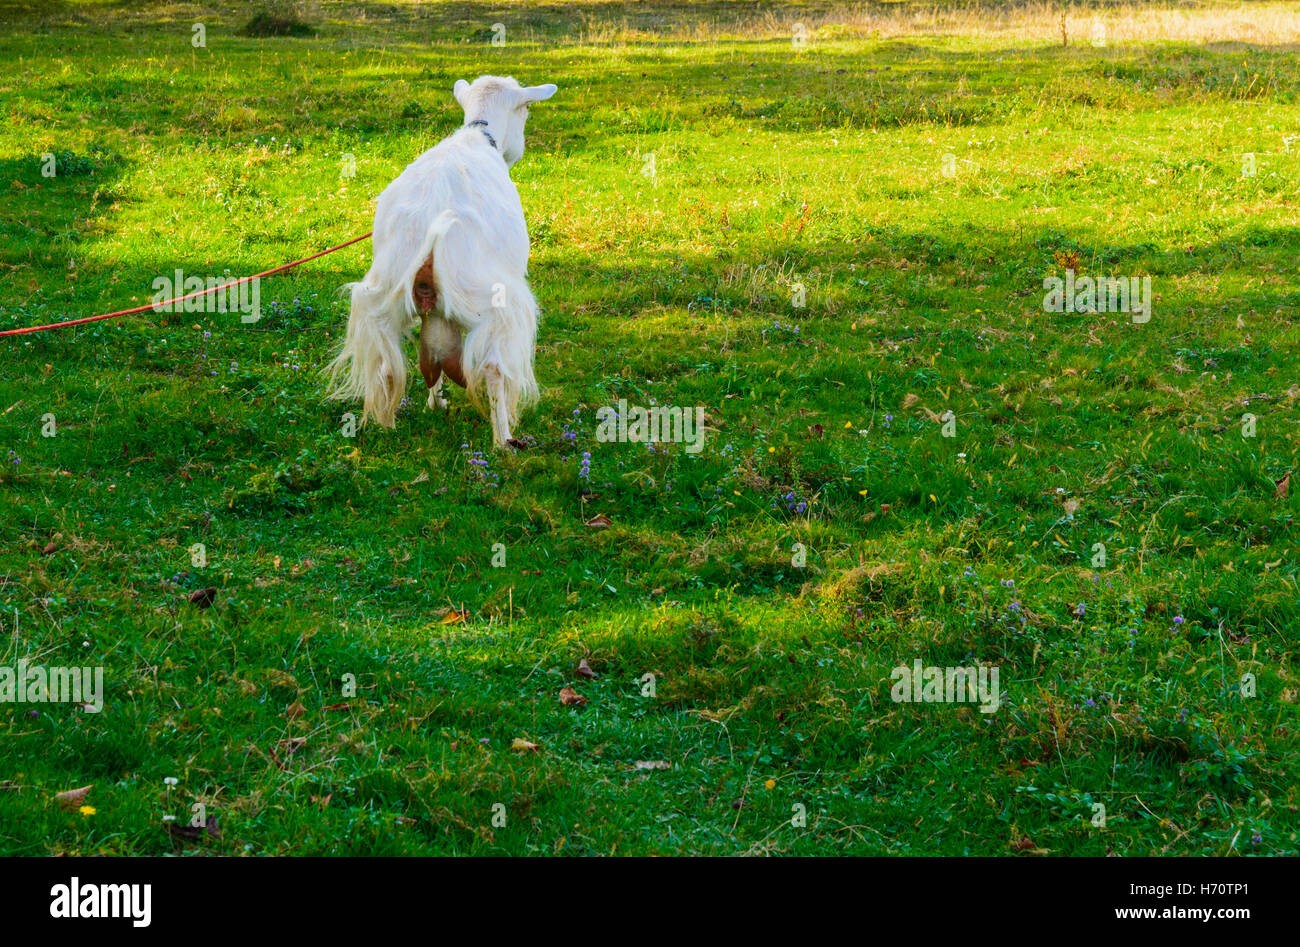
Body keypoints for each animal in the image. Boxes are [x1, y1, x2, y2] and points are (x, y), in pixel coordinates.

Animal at [327, 75, 556, 444]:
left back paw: (389, 425)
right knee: (494, 366)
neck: (478, 134)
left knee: (389, 363)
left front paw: (435, 401)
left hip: (382, 298)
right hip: (494, 301)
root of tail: (433, 228)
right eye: (527, 109)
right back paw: (504, 441)